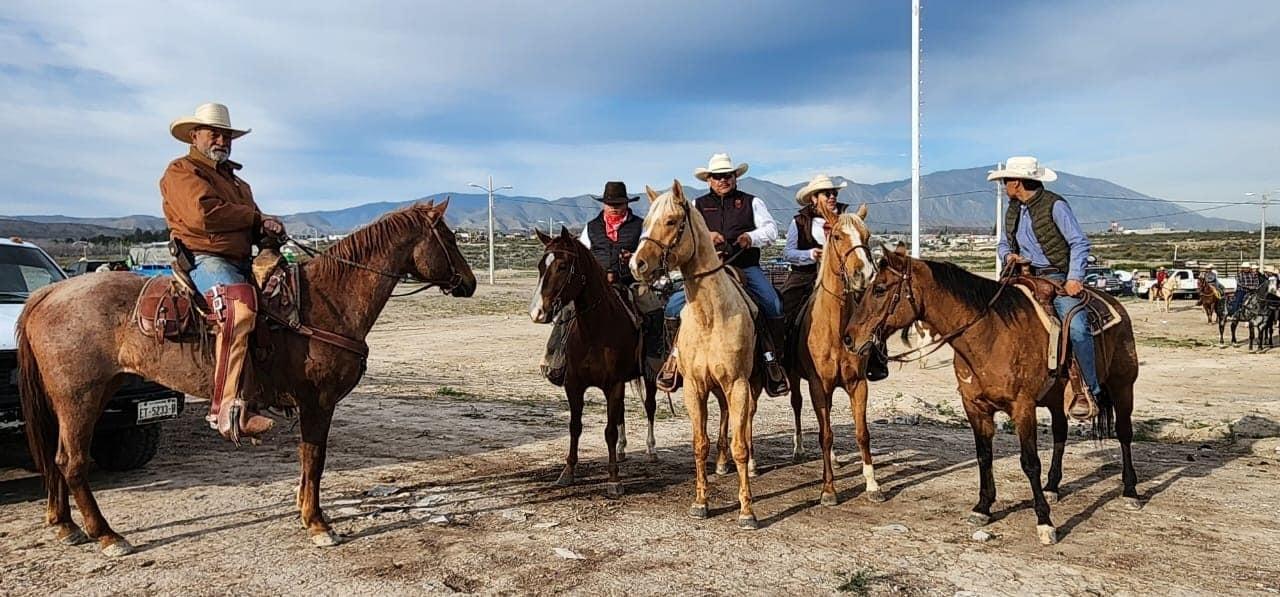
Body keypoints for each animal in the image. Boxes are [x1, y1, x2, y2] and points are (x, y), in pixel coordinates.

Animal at [17, 201, 478, 556]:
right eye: (449, 238)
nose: (470, 283)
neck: (328, 301)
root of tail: (47, 294)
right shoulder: (318, 403)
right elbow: (315, 459)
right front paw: (318, 523)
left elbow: (308, 461)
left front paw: (305, 512)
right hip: (80, 398)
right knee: (72, 462)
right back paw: (108, 536)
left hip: (80, 398)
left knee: (57, 460)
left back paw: (66, 525)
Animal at [527, 226, 660, 494]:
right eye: (540, 266)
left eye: (562, 266)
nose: (537, 313)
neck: (594, 332)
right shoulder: (574, 385)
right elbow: (575, 426)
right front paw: (568, 472)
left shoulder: (614, 385)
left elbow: (609, 430)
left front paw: (614, 479)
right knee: (621, 413)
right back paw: (622, 450)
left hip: (648, 376)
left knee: (649, 406)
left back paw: (650, 449)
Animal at [627, 180, 762, 527]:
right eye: (645, 223)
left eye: (671, 221)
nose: (637, 265)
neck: (711, 317)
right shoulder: (694, 387)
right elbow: (699, 444)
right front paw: (701, 501)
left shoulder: (738, 384)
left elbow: (741, 444)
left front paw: (747, 509)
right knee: (726, 417)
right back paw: (722, 463)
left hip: (750, 385)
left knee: (746, 421)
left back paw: (751, 464)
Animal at [849, 252, 1141, 545]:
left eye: (880, 289)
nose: (849, 338)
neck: (991, 334)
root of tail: (1116, 304)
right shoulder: (975, 407)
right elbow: (984, 456)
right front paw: (983, 507)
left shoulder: (1022, 408)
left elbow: (1030, 463)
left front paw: (1044, 522)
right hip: (1057, 400)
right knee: (1060, 433)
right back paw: (1052, 486)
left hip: (1123, 388)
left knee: (1124, 433)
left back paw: (1130, 490)